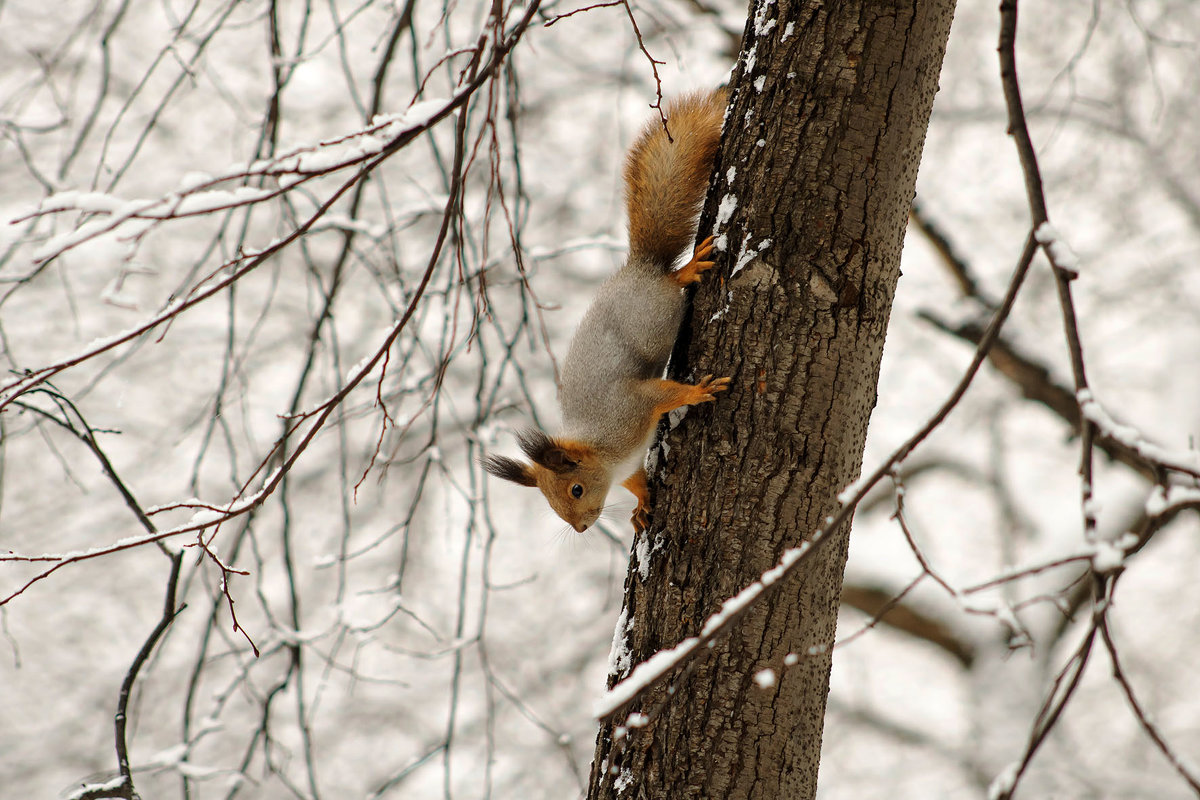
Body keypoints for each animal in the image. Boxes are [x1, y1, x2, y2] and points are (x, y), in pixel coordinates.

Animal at [482, 90, 724, 534]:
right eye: (550, 502)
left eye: (576, 490)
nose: (580, 529)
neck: (606, 456)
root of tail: (640, 266)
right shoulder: (627, 465)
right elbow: (637, 482)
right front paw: (642, 504)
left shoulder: (630, 409)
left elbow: (664, 393)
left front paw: (698, 391)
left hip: (656, 310)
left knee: (672, 283)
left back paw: (686, 270)